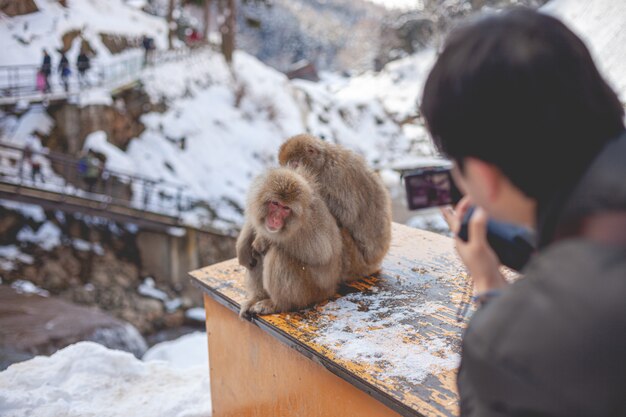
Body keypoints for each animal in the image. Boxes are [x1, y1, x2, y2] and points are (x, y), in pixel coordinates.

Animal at [235, 167, 342, 316]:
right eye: (275, 203)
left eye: (286, 208)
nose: (275, 220)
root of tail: (330, 290)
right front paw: (243, 244)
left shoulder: (310, 223)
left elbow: (320, 252)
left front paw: (264, 238)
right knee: (255, 256)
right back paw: (257, 298)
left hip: (309, 293)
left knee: (278, 254)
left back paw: (277, 304)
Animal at [278, 133, 390, 280]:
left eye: (294, 163)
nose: (290, 170)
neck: (323, 165)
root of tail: (373, 265)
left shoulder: (335, 176)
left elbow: (347, 213)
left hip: (355, 260)